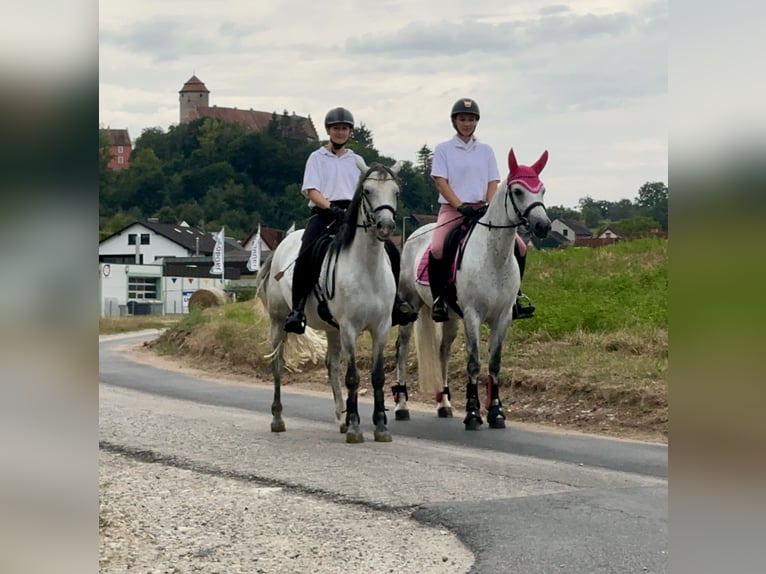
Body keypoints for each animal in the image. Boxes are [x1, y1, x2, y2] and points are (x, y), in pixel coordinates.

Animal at [396, 151, 552, 430]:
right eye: (518, 191)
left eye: (542, 190)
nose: (543, 226)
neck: (494, 257)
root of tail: (413, 235)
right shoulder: (472, 315)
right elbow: (474, 363)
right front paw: (472, 413)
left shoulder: (503, 317)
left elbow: (494, 363)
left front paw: (496, 412)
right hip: (410, 306)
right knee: (401, 350)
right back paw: (401, 406)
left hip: (450, 318)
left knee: (443, 352)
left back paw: (444, 403)